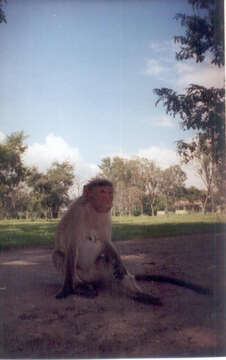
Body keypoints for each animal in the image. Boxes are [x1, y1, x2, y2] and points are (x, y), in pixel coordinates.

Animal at [52, 177, 211, 304]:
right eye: (102, 192)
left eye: (109, 192)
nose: (109, 199)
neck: (93, 209)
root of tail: (93, 280)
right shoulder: (77, 213)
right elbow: (72, 248)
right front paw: (67, 289)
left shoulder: (106, 215)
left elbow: (106, 242)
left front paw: (120, 264)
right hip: (81, 274)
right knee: (59, 256)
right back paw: (80, 288)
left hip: (100, 271)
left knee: (110, 263)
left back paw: (139, 295)